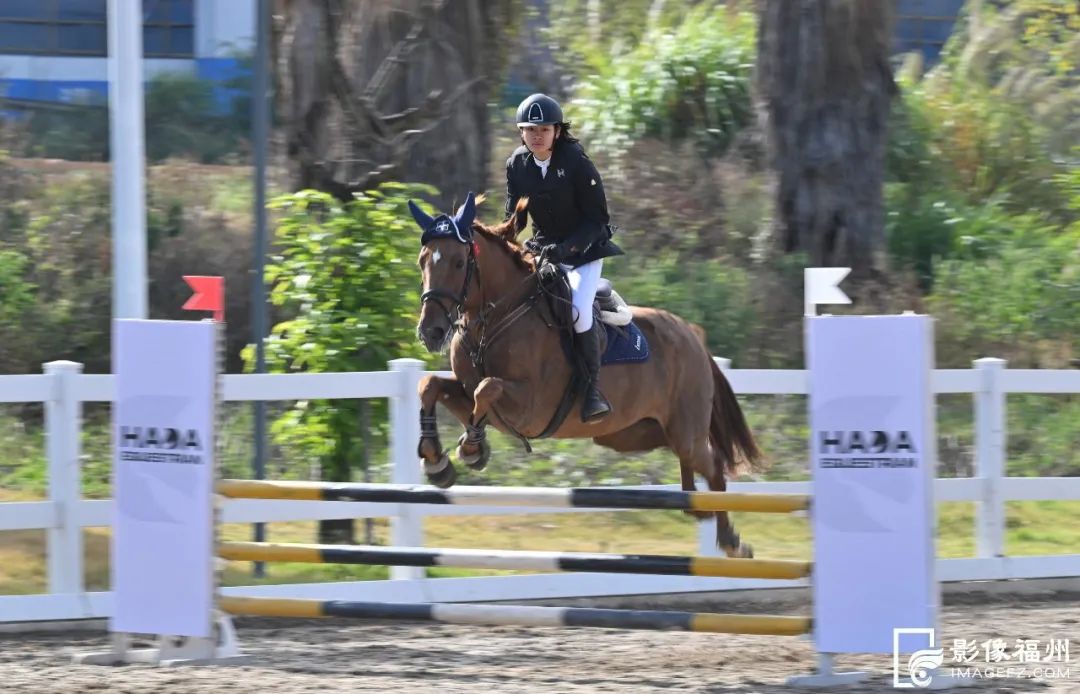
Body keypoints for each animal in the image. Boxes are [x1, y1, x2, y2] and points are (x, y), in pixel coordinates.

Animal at [406, 191, 768, 561]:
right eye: (423, 260)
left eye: (458, 262)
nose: (431, 332)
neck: (495, 319)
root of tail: (693, 337)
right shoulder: (471, 395)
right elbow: (431, 386)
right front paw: (437, 461)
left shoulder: (531, 409)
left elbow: (486, 388)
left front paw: (471, 449)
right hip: (637, 434)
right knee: (695, 470)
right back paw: (700, 510)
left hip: (683, 430)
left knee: (713, 465)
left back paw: (731, 541)